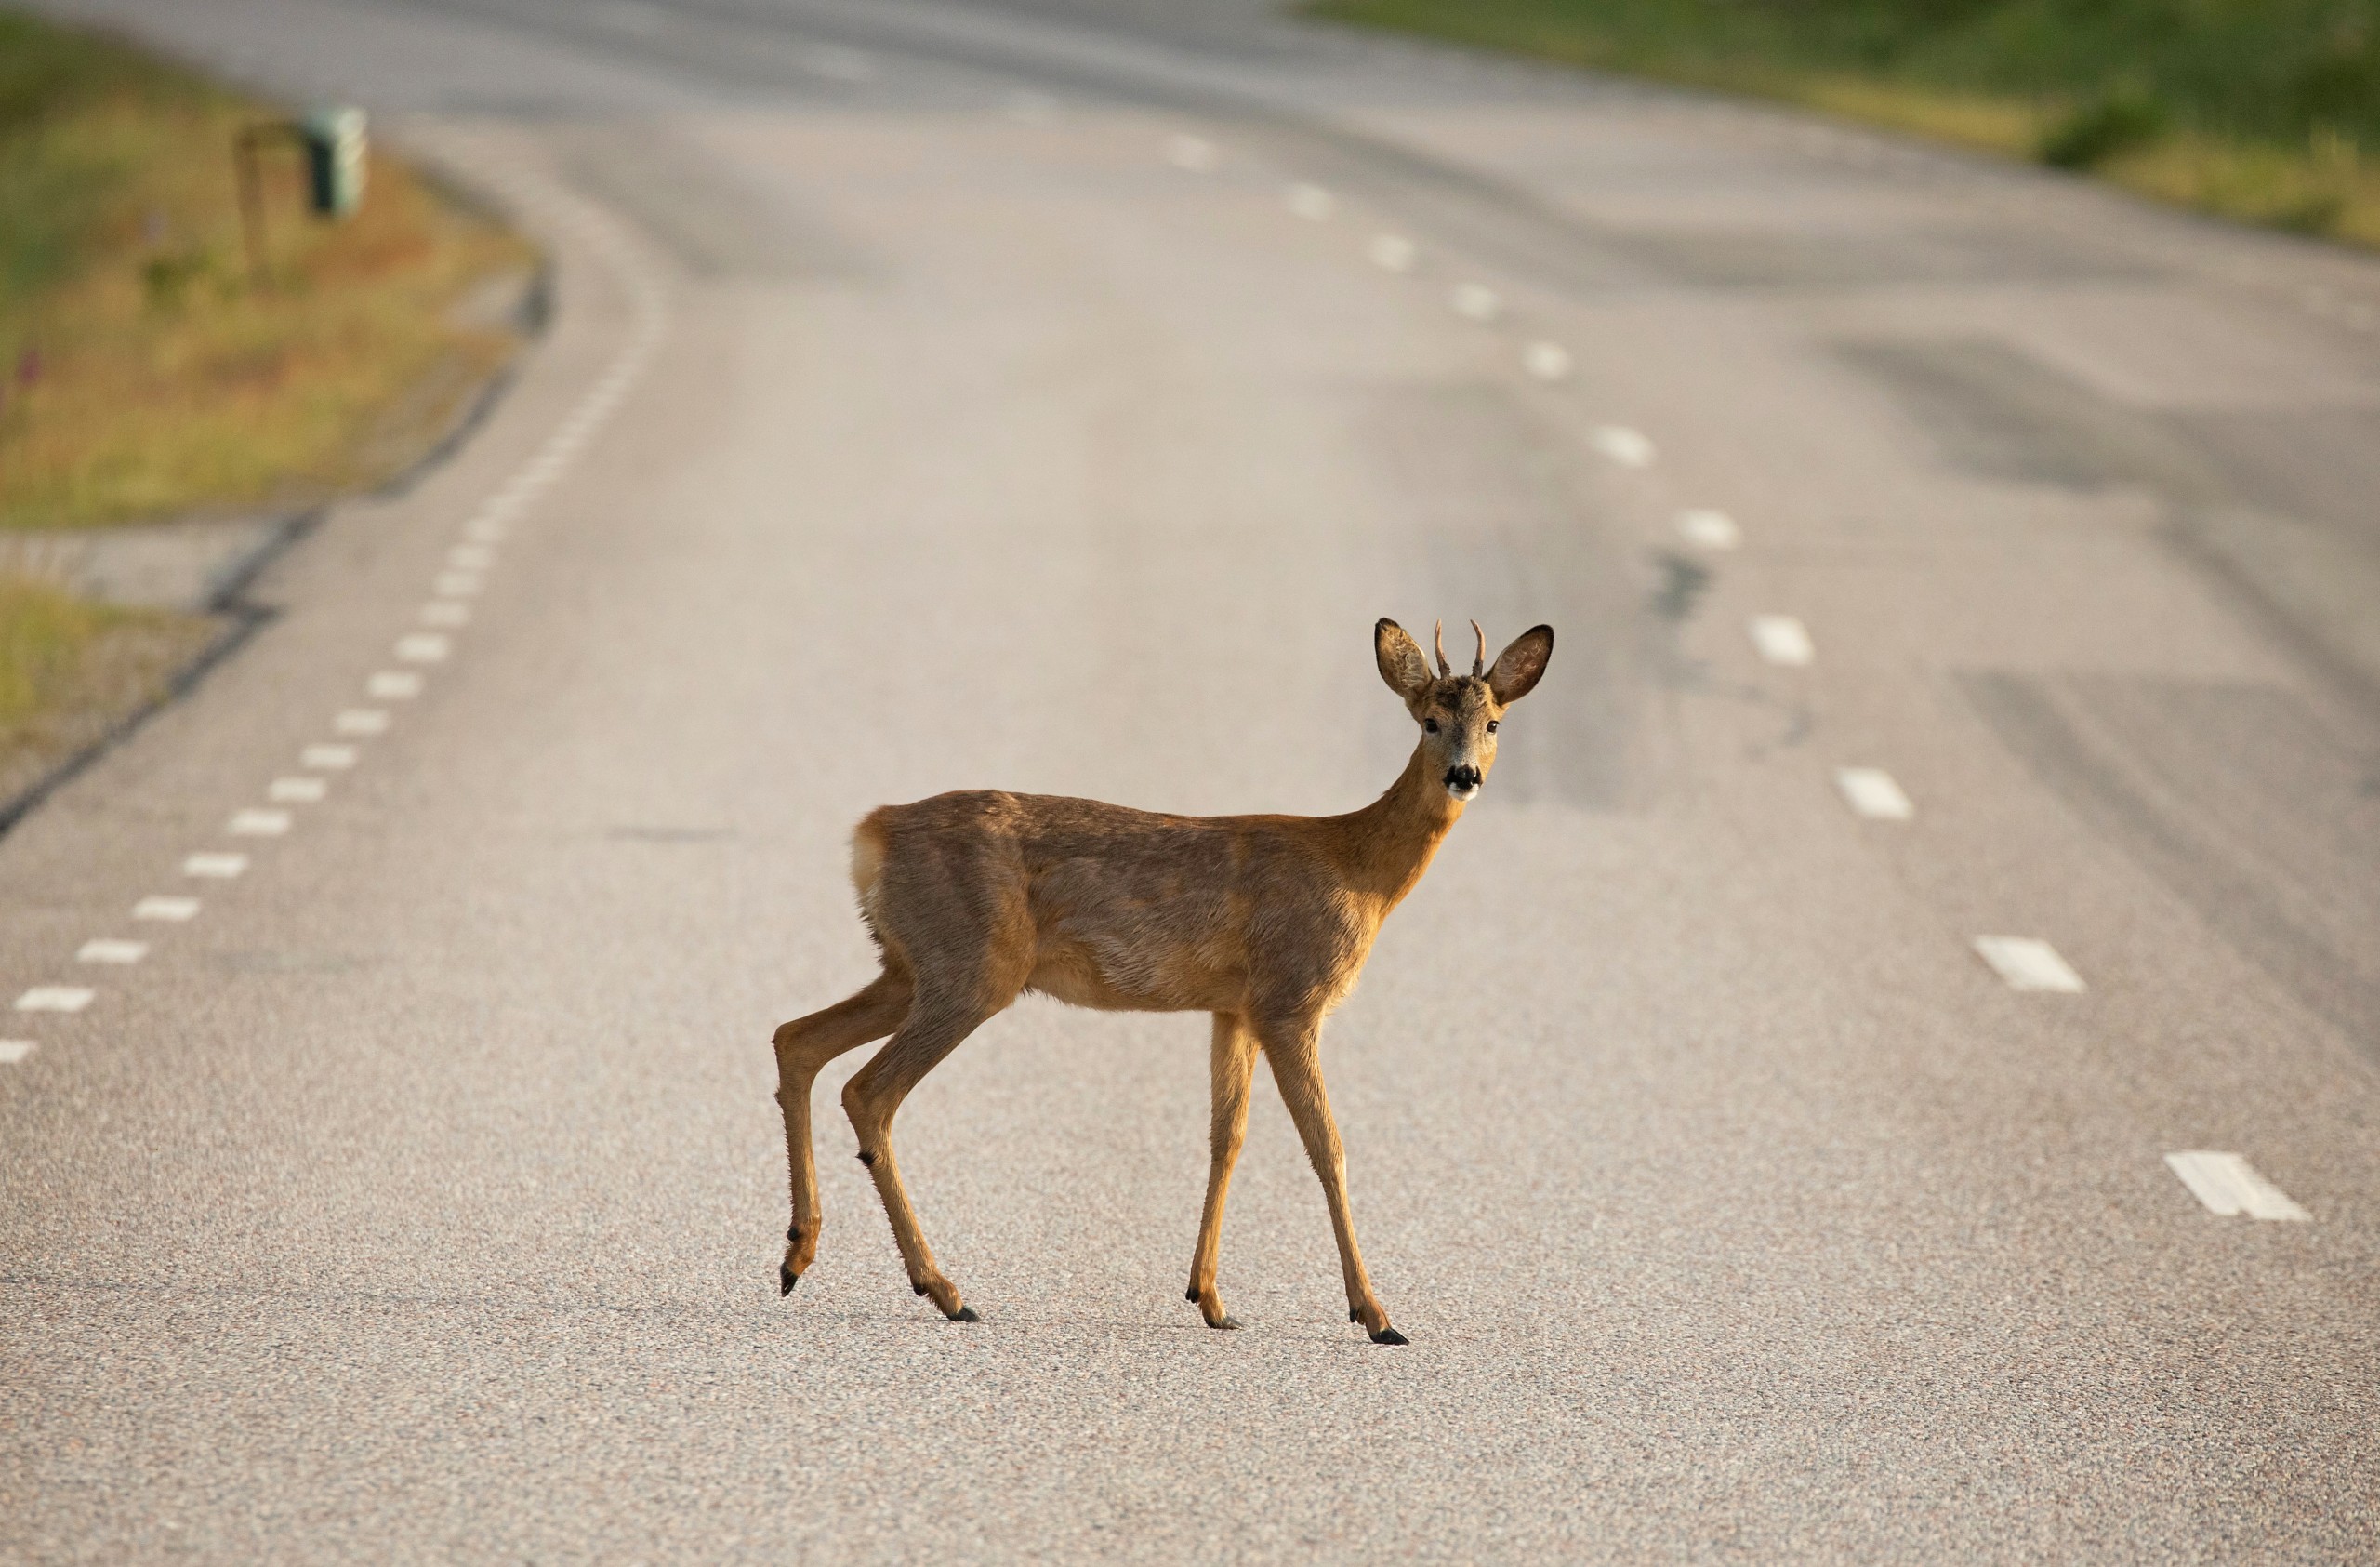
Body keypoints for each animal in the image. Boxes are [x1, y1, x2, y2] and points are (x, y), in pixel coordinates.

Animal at [775, 614, 1561, 1334]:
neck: (1358, 869)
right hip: (969, 969)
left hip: (909, 966)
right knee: (868, 1089)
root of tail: (872, 833)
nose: (1464, 775)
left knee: (797, 1037)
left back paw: (796, 1255)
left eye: (1493, 721)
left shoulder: (1233, 1006)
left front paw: (1210, 1298)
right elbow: (1327, 1145)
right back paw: (943, 1289)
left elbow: (1226, 1137)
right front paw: (1374, 1313)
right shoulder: (1290, 999)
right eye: (1430, 720)